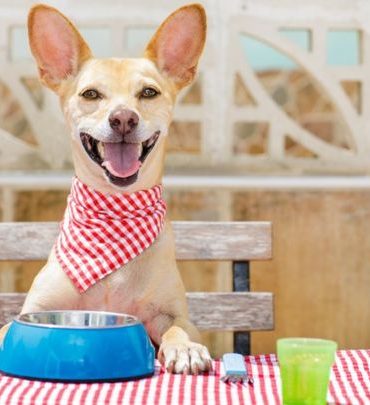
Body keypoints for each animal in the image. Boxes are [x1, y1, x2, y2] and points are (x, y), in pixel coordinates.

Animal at [0, 3, 211, 376]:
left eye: (148, 92)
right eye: (91, 94)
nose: (124, 118)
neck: (113, 212)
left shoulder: (174, 314)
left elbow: (177, 328)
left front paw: (185, 348)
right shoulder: (31, 311)